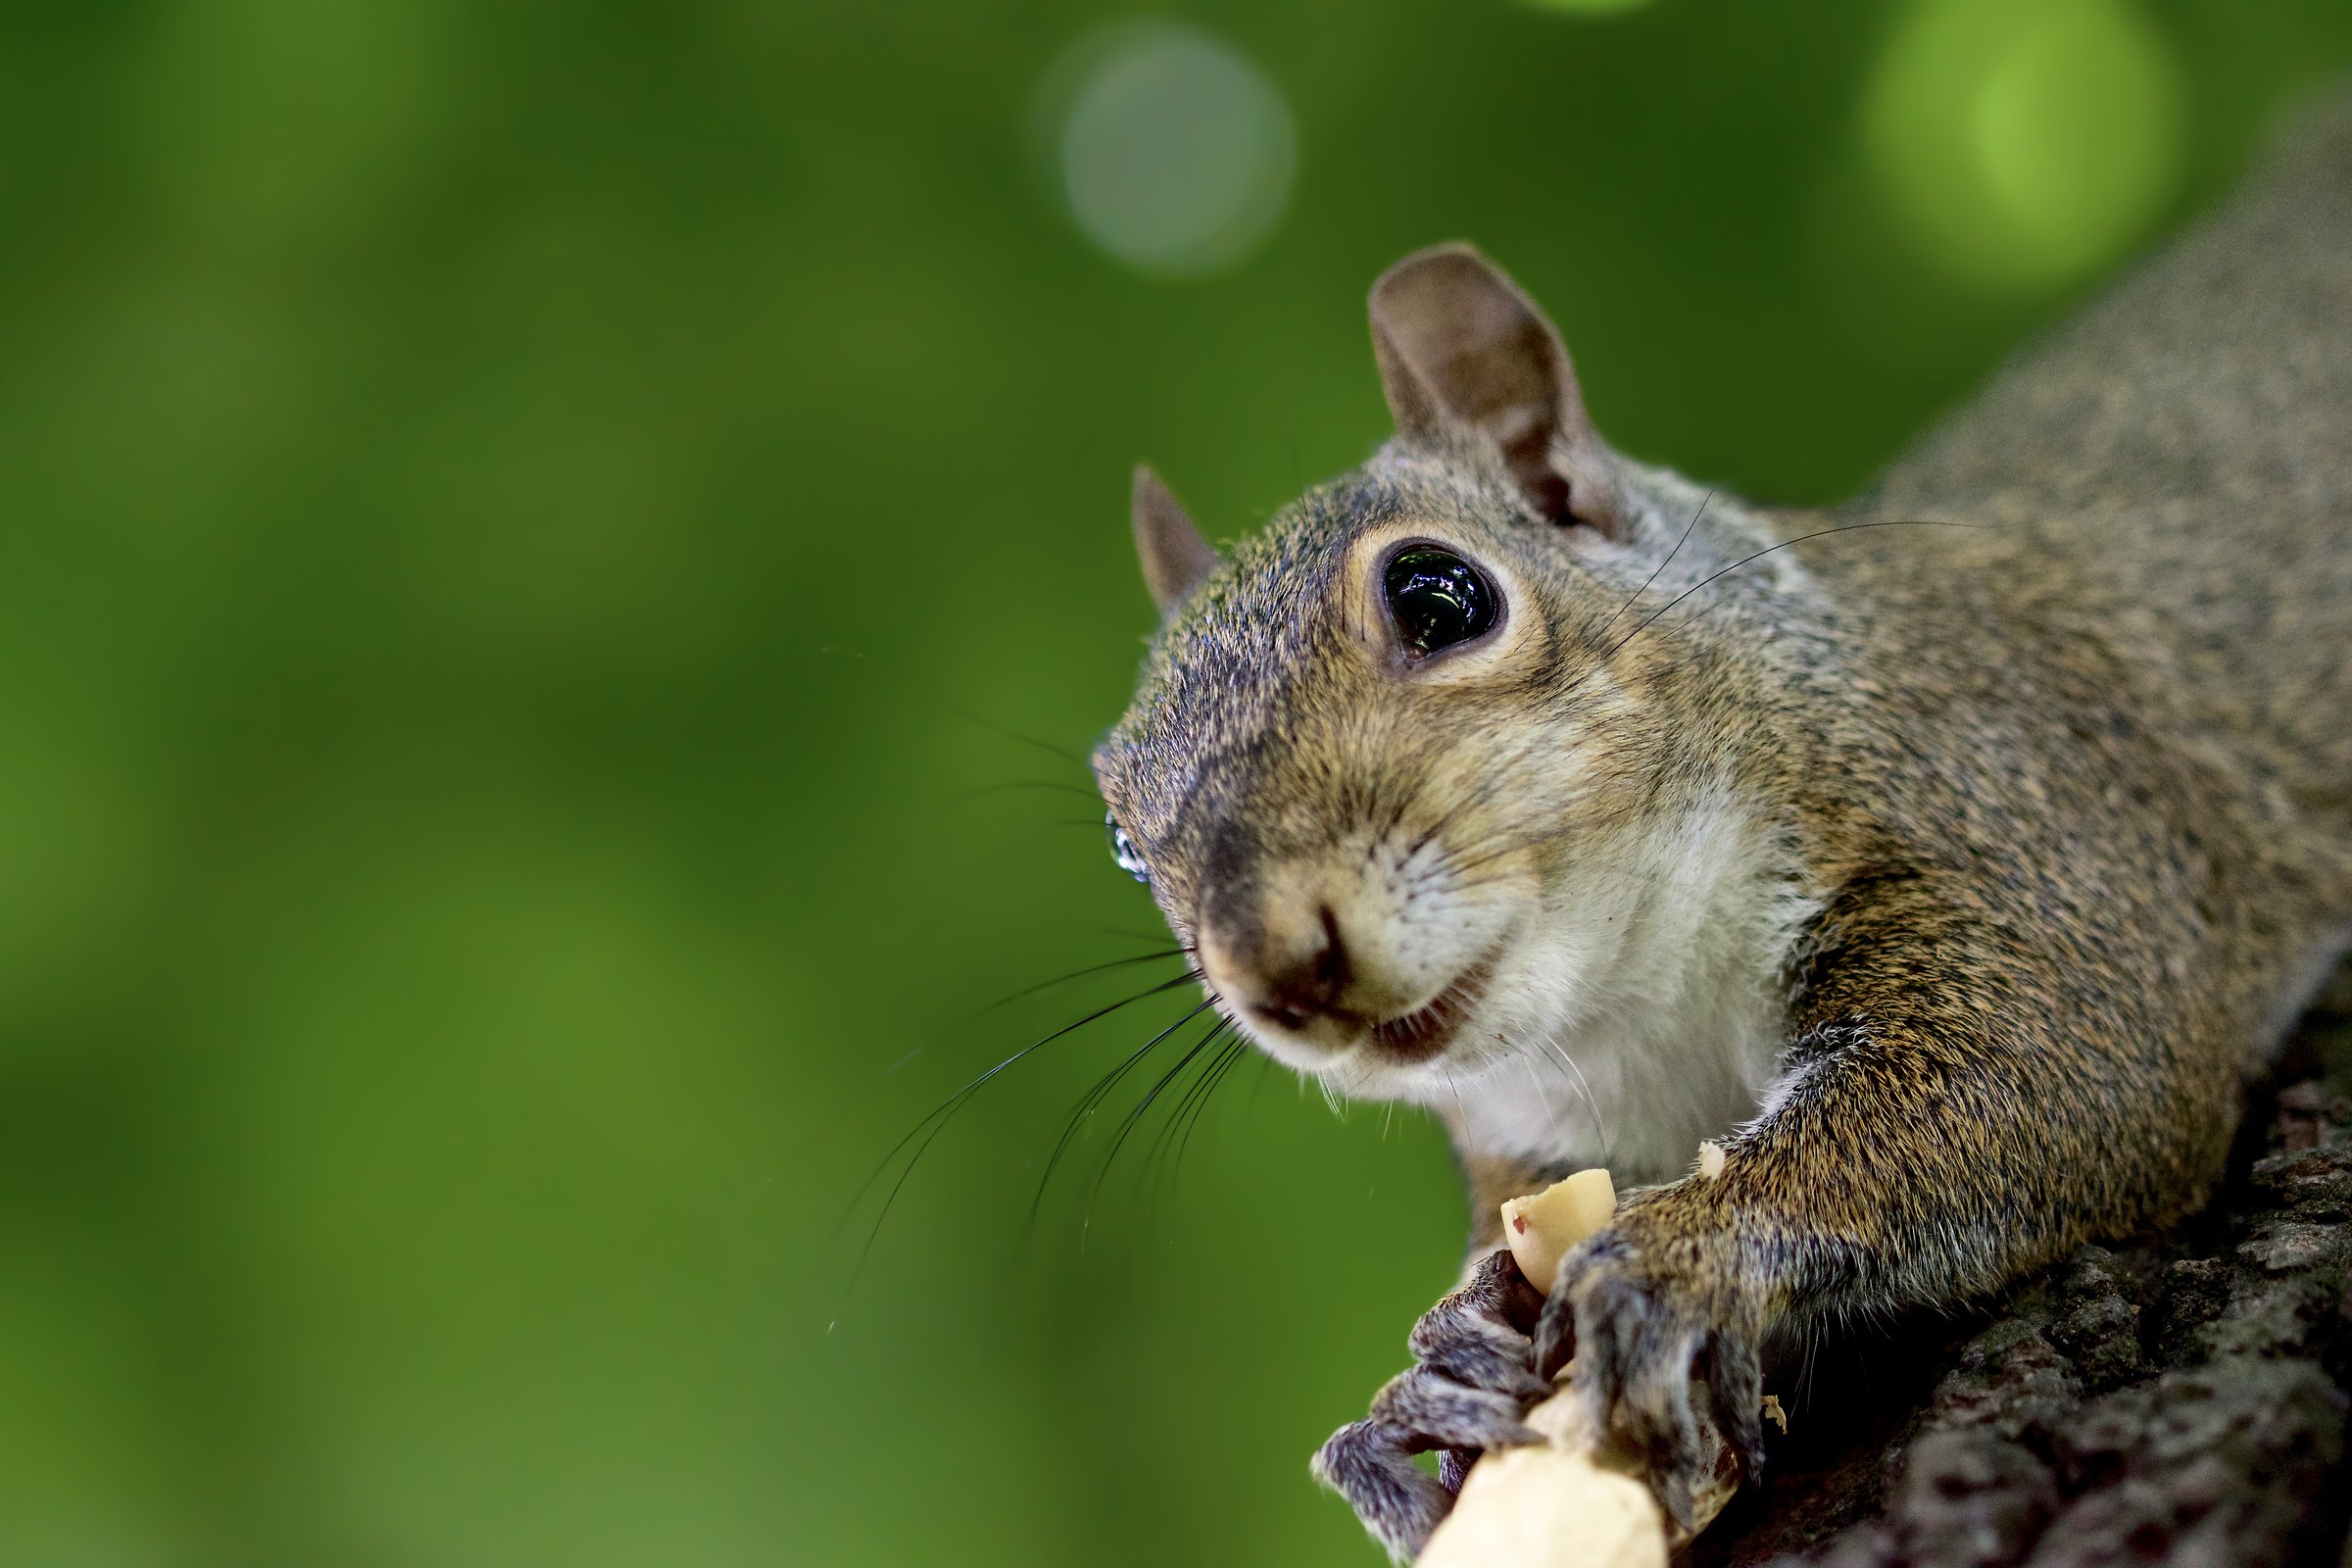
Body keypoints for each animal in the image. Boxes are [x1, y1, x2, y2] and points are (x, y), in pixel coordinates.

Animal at [1091, 87, 2352, 1561]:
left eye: (1441, 595)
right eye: (1121, 832)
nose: (1274, 966)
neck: (1637, 1011)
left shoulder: (2035, 808)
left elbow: (2056, 1057)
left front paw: (1686, 1246)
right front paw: (1422, 1392)